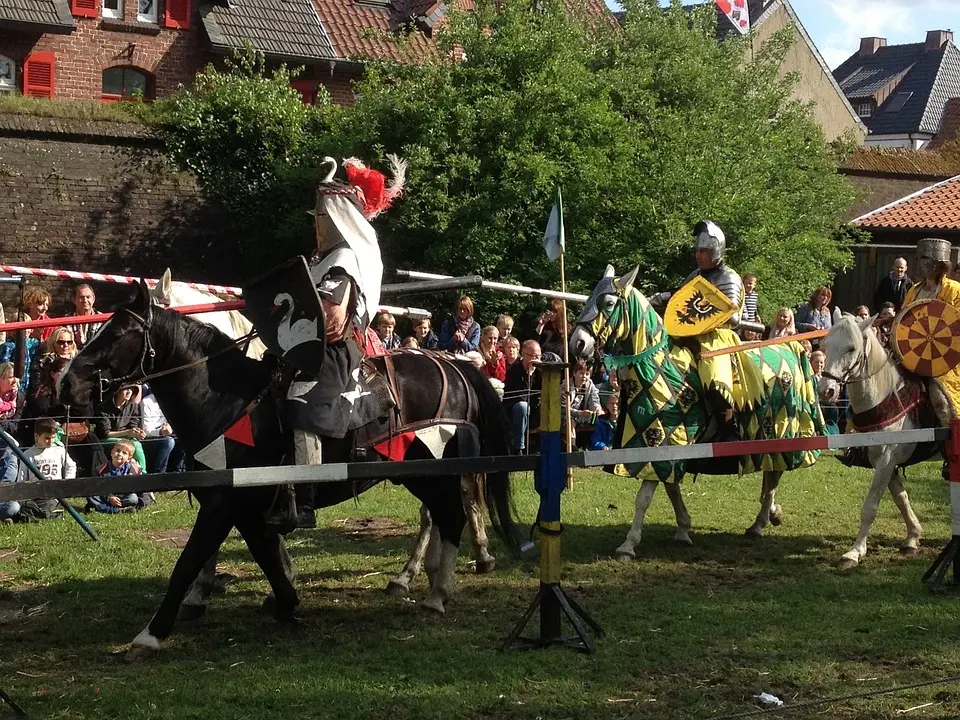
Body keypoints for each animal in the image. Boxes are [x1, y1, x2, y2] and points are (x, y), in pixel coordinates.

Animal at [60, 278, 524, 660]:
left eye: (116, 333)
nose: (67, 383)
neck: (226, 399)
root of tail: (456, 366)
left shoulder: (223, 503)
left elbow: (189, 561)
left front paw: (152, 633)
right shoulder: (243, 506)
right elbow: (263, 552)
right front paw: (285, 601)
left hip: (431, 470)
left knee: (451, 513)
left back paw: (437, 590)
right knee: (444, 514)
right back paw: (426, 579)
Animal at [812, 314, 948, 568]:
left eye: (851, 348)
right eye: (825, 346)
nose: (827, 391)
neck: (884, 399)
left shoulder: (886, 461)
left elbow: (870, 507)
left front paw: (854, 552)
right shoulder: (886, 463)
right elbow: (901, 498)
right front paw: (912, 537)